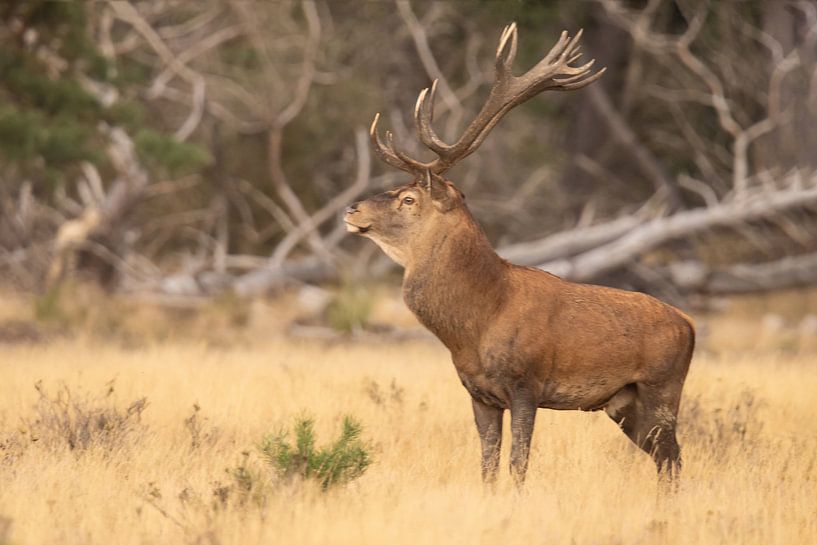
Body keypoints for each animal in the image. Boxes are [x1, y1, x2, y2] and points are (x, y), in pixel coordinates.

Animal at [345, 24, 695, 486]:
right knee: (664, 458)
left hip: (662, 387)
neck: (476, 325)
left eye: (407, 199)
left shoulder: (527, 383)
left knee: (672, 457)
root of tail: (690, 326)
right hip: (623, 402)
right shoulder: (478, 393)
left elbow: (518, 463)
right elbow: (488, 465)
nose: (352, 209)